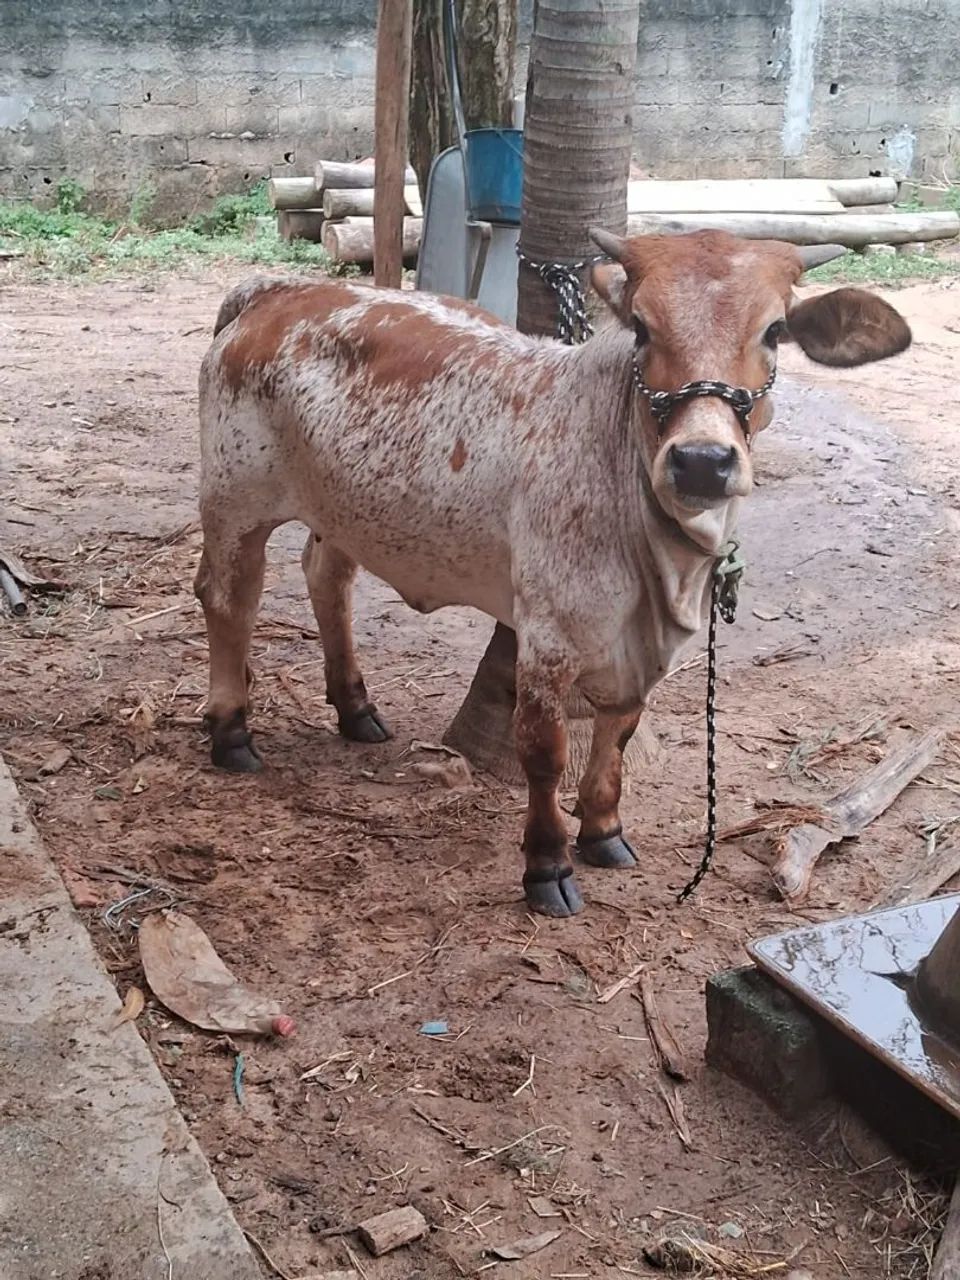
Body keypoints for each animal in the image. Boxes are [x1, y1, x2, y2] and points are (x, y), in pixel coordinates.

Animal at [194, 229, 911, 917]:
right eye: (642, 329)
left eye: (774, 331)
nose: (703, 461)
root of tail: (275, 291)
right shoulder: (546, 638)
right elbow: (543, 753)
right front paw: (548, 865)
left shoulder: (638, 652)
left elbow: (616, 736)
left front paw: (603, 831)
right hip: (234, 500)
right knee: (228, 598)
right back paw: (231, 731)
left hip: (343, 509)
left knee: (326, 577)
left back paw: (355, 707)